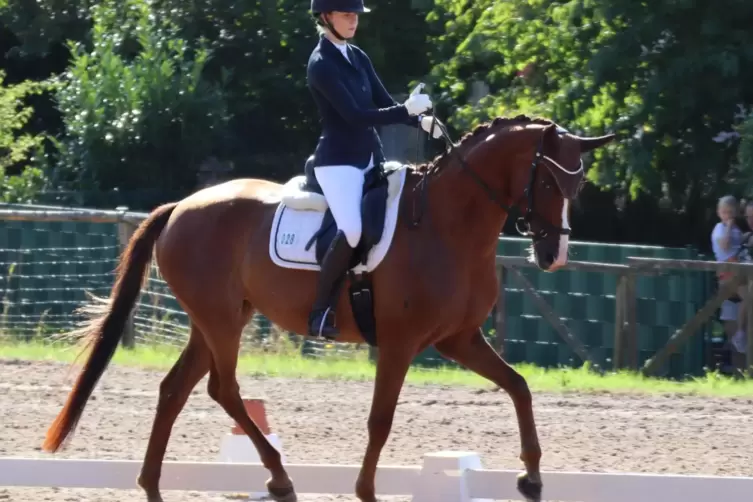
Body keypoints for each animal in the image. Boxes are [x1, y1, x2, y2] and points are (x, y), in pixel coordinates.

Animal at [39, 113, 612, 502]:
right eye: (548, 180)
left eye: (579, 182)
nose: (555, 256)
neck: (448, 224)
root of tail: (182, 205)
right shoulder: (401, 343)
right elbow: (380, 420)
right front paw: (366, 491)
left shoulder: (459, 339)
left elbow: (518, 386)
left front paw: (531, 476)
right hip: (220, 320)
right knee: (223, 389)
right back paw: (279, 477)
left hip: (221, 317)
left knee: (176, 389)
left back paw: (156, 485)